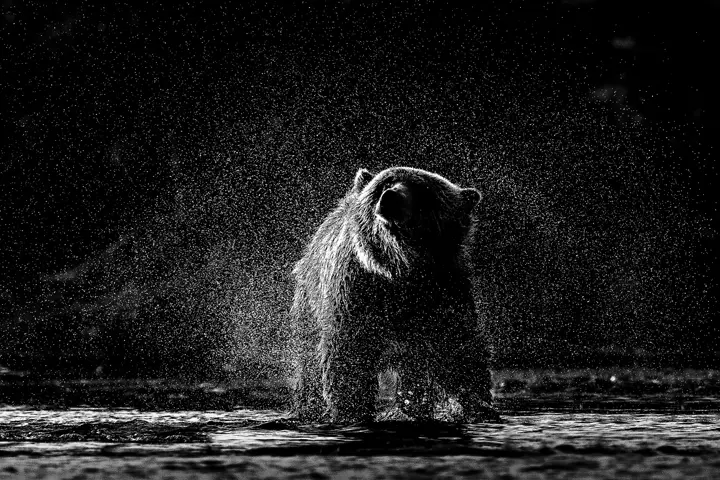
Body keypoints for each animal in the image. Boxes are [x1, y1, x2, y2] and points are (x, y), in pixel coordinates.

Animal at [289, 166, 495, 424]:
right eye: (385, 182)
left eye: (423, 191)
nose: (390, 197)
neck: (398, 268)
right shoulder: (356, 293)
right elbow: (348, 357)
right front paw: (351, 409)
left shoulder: (443, 294)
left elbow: (459, 352)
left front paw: (478, 406)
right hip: (309, 308)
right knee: (308, 366)